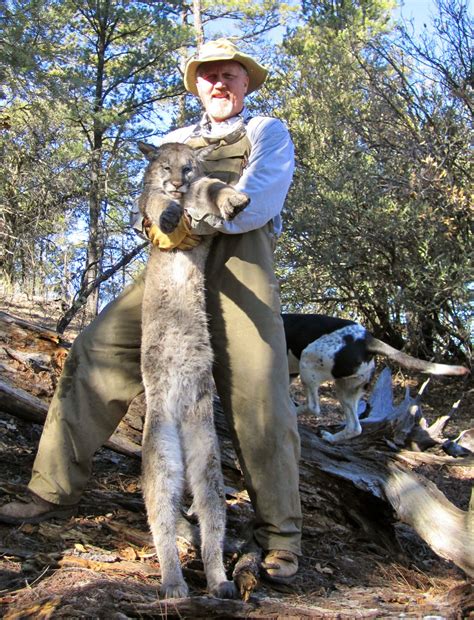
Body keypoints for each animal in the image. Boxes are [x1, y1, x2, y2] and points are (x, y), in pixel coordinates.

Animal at [284, 312, 468, 444]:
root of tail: (368, 340)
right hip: (346, 390)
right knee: (355, 428)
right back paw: (331, 438)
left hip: (307, 362)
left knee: (313, 407)